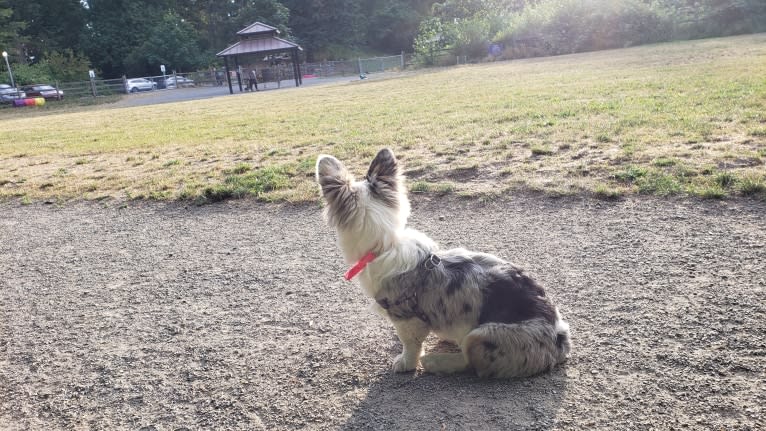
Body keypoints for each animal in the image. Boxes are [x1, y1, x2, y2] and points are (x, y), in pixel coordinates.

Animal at [316, 148, 572, 378]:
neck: (385, 244)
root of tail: (560, 339)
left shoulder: (406, 317)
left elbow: (410, 345)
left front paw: (405, 363)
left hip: (482, 335)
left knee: (472, 365)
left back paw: (435, 362)